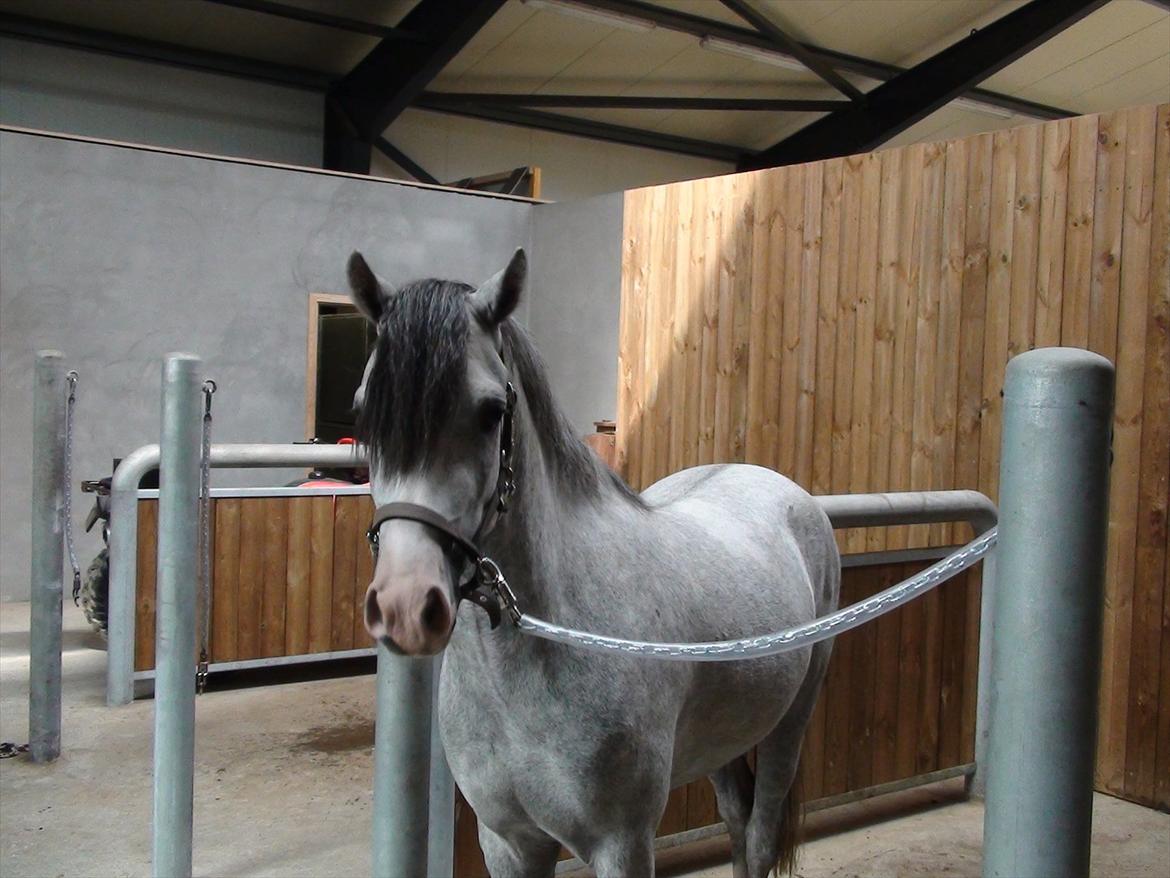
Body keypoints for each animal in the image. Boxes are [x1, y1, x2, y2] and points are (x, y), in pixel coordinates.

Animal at [348, 247, 841, 878]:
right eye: (365, 412)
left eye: (490, 412)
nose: (406, 606)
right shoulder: (508, 843)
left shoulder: (621, 844)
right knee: (736, 816)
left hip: (790, 723)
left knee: (759, 833)